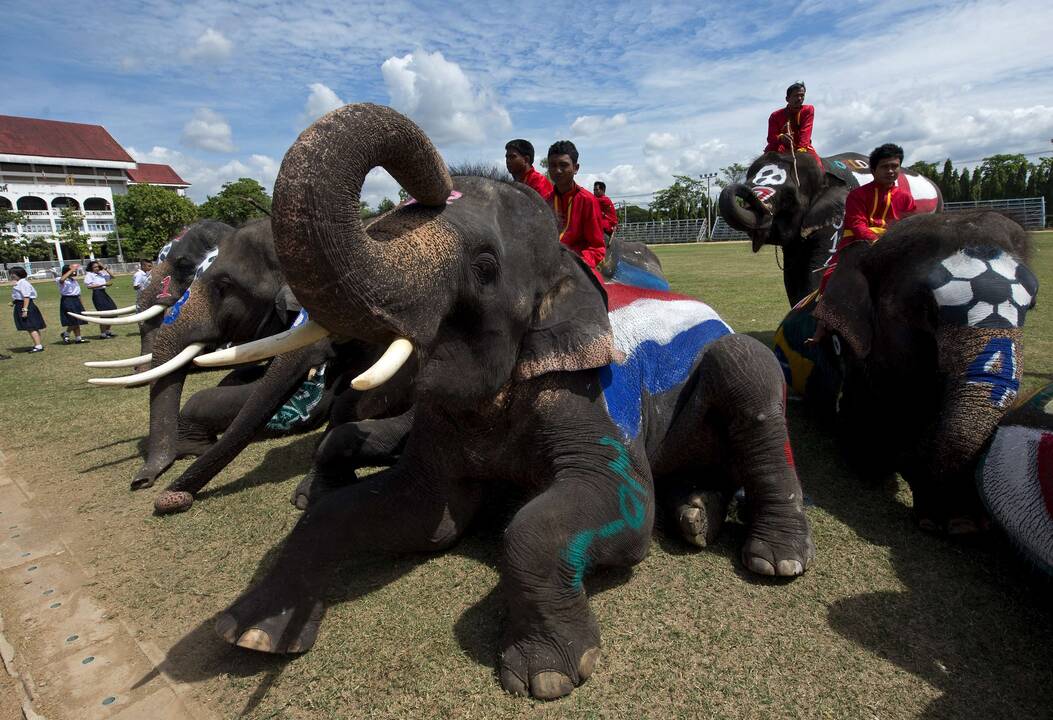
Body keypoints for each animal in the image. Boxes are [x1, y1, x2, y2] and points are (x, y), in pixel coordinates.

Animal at [209, 104, 808, 698]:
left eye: (484, 267)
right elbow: (427, 514)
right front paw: (253, 635)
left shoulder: (592, 395)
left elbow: (615, 510)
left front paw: (545, 676)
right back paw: (696, 514)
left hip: (734, 365)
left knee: (747, 370)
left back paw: (775, 558)